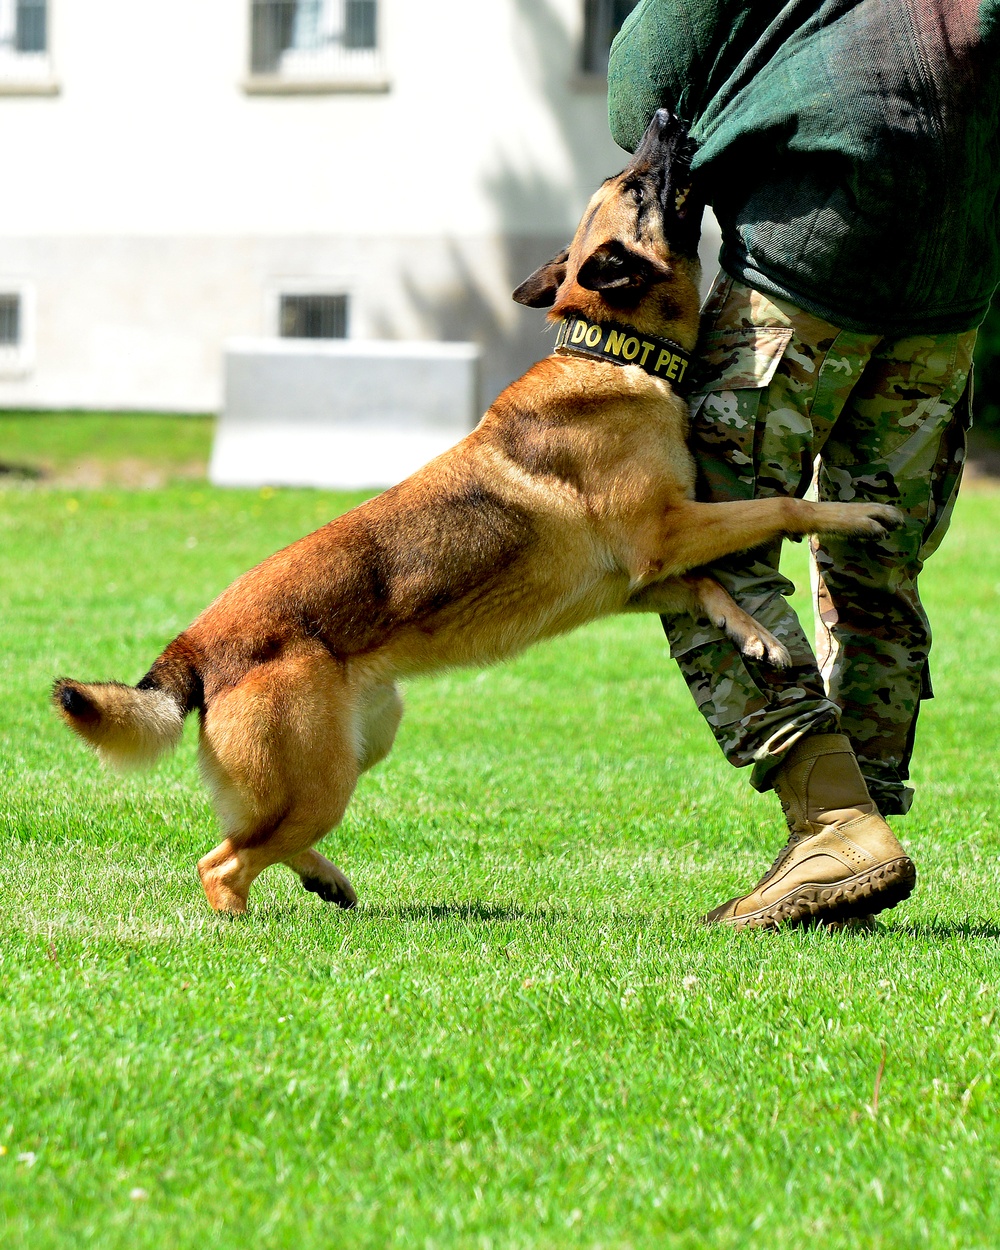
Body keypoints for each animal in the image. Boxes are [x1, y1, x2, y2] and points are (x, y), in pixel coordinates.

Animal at [50, 112, 900, 915]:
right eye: (637, 188)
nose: (663, 118)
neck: (611, 351)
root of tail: (195, 644)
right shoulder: (664, 535)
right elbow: (780, 502)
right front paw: (857, 514)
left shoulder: (637, 577)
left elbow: (709, 586)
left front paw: (756, 635)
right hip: (318, 778)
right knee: (221, 862)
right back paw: (245, 921)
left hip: (361, 746)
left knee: (255, 838)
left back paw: (327, 881)